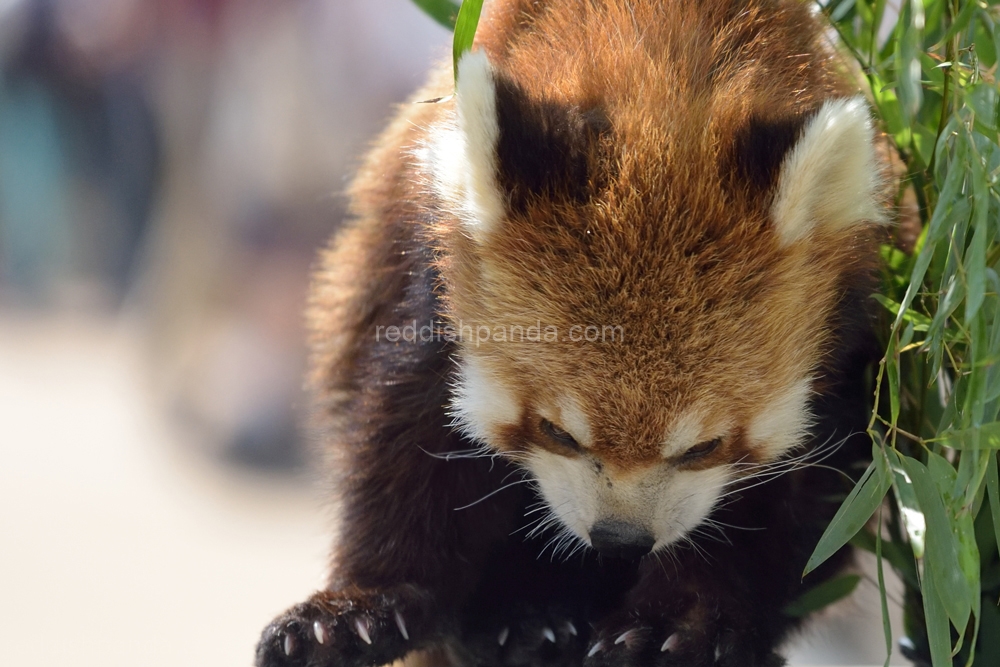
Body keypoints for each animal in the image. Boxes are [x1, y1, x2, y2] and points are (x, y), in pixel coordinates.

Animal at [256, 1, 884, 667]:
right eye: (555, 431)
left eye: (704, 447)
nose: (620, 538)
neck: (658, 61)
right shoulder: (426, 263)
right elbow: (408, 440)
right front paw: (358, 608)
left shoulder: (849, 349)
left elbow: (790, 513)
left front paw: (679, 625)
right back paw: (529, 620)